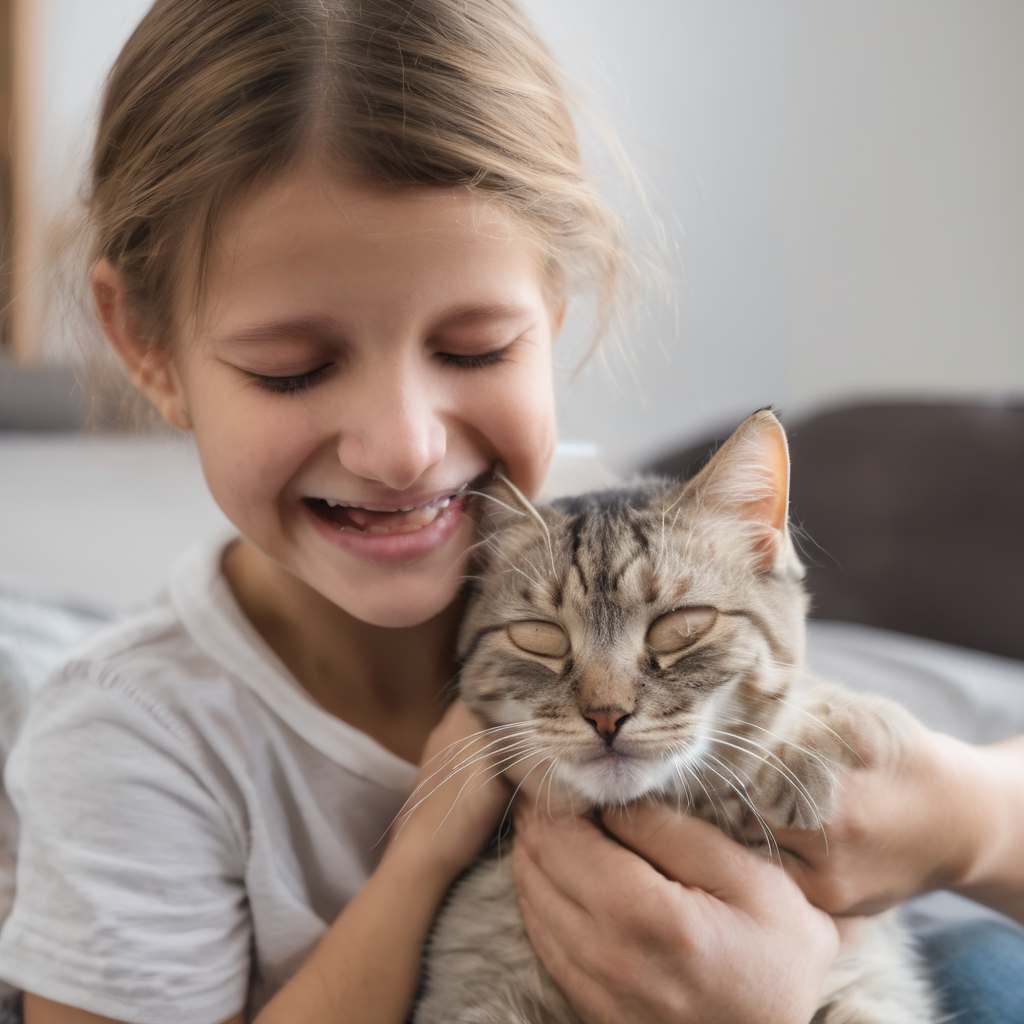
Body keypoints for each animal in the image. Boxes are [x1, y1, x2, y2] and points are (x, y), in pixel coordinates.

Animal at [411, 409, 937, 1024]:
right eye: (540, 637)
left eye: (680, 628)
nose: (606, 716)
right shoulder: (478, 992)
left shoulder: (870, 987)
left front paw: (812, 744)